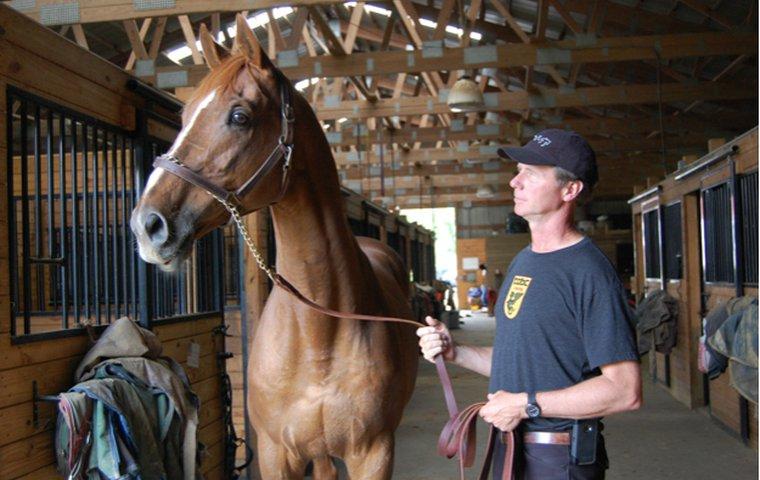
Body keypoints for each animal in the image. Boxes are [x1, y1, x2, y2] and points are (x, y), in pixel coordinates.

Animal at [129, 15, 416, 480]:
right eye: (185, 115)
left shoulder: (374, 453)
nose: (147, 225)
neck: (319, 336)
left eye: (240, 116)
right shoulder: (276, 452)